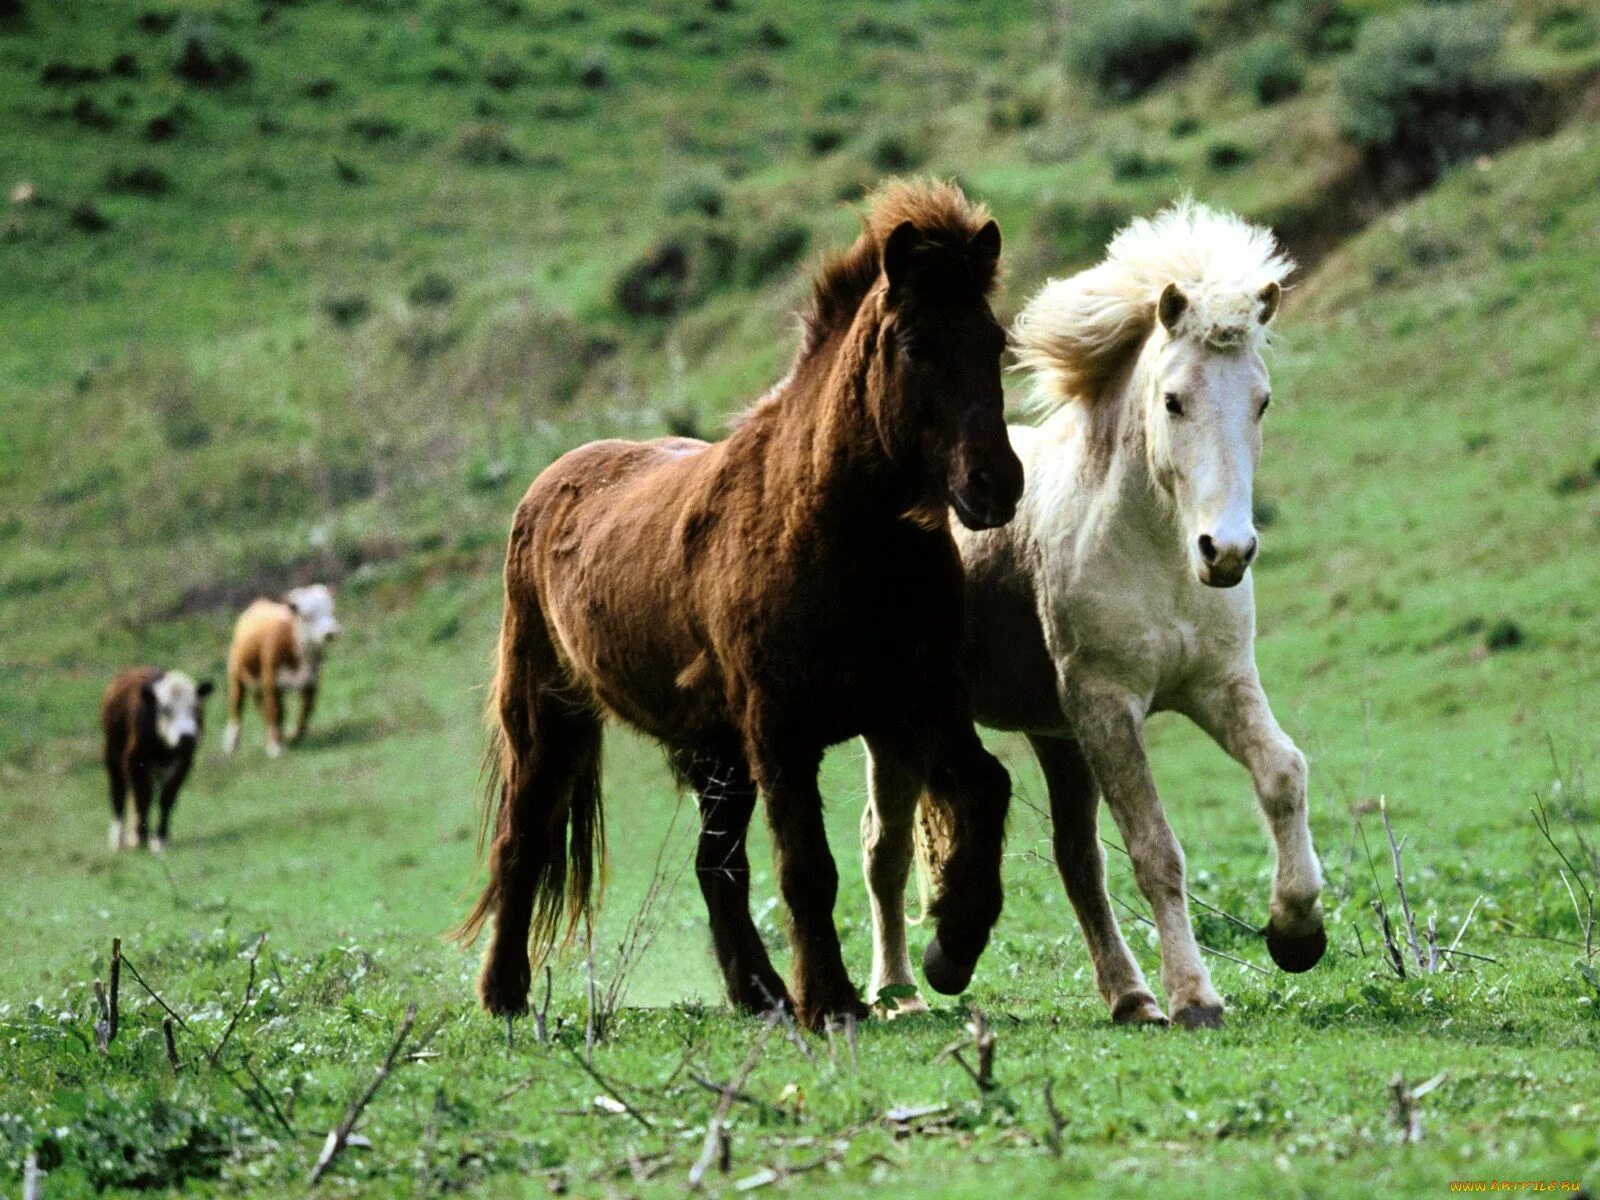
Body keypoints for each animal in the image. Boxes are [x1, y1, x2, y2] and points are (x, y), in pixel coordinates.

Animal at [101, 668, 212, 857]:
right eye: (166, 709)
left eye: (195, 708)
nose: (186, 737)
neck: (164, 749)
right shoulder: (134, 762)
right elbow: (143, 799)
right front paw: (141, 839)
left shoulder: (184, 764)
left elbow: (167, 800)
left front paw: (161, 839)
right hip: (112, 757)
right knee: (119, 795)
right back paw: (119, 840)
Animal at [224, 585, 342, 761]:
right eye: (308, 615)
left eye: (330, 609)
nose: (331, 632)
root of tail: (258, 603)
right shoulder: (271, 682)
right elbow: (273, 711)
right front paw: (275, 747)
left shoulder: (311, 681)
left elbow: (305, 710)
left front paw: (293, 736)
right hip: (236, 676)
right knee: (237, 707)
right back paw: (232, 745)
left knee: (267, 707)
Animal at [454, 180, 1024, 1036]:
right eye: (915, 343)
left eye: (993, 340)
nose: (996, 484)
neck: (832, 528)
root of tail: (552, 482)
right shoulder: (780, 729)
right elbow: (807, 866)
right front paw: (833, 1001)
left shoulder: (915, 704)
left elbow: (985, 790)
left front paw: (950, 948)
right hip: (549, 720)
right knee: (521, 844)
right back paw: (506, 994)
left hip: (718, 754)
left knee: (714, 867)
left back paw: (759, 993)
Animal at [864, 202, 1324, 1030]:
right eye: (1173, 400)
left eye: (1261, 401)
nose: (1227, 551)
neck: (1158, 555)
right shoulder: (1110, 705)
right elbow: (1155, 849)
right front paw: (1196, 997)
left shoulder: (1217, 685)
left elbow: (1282, 773)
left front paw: (1296, 933)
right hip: (902, 729)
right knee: (884, 849)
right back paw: (901, 992)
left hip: (1056, 739)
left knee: (1075, 859)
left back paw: (1129, 997)